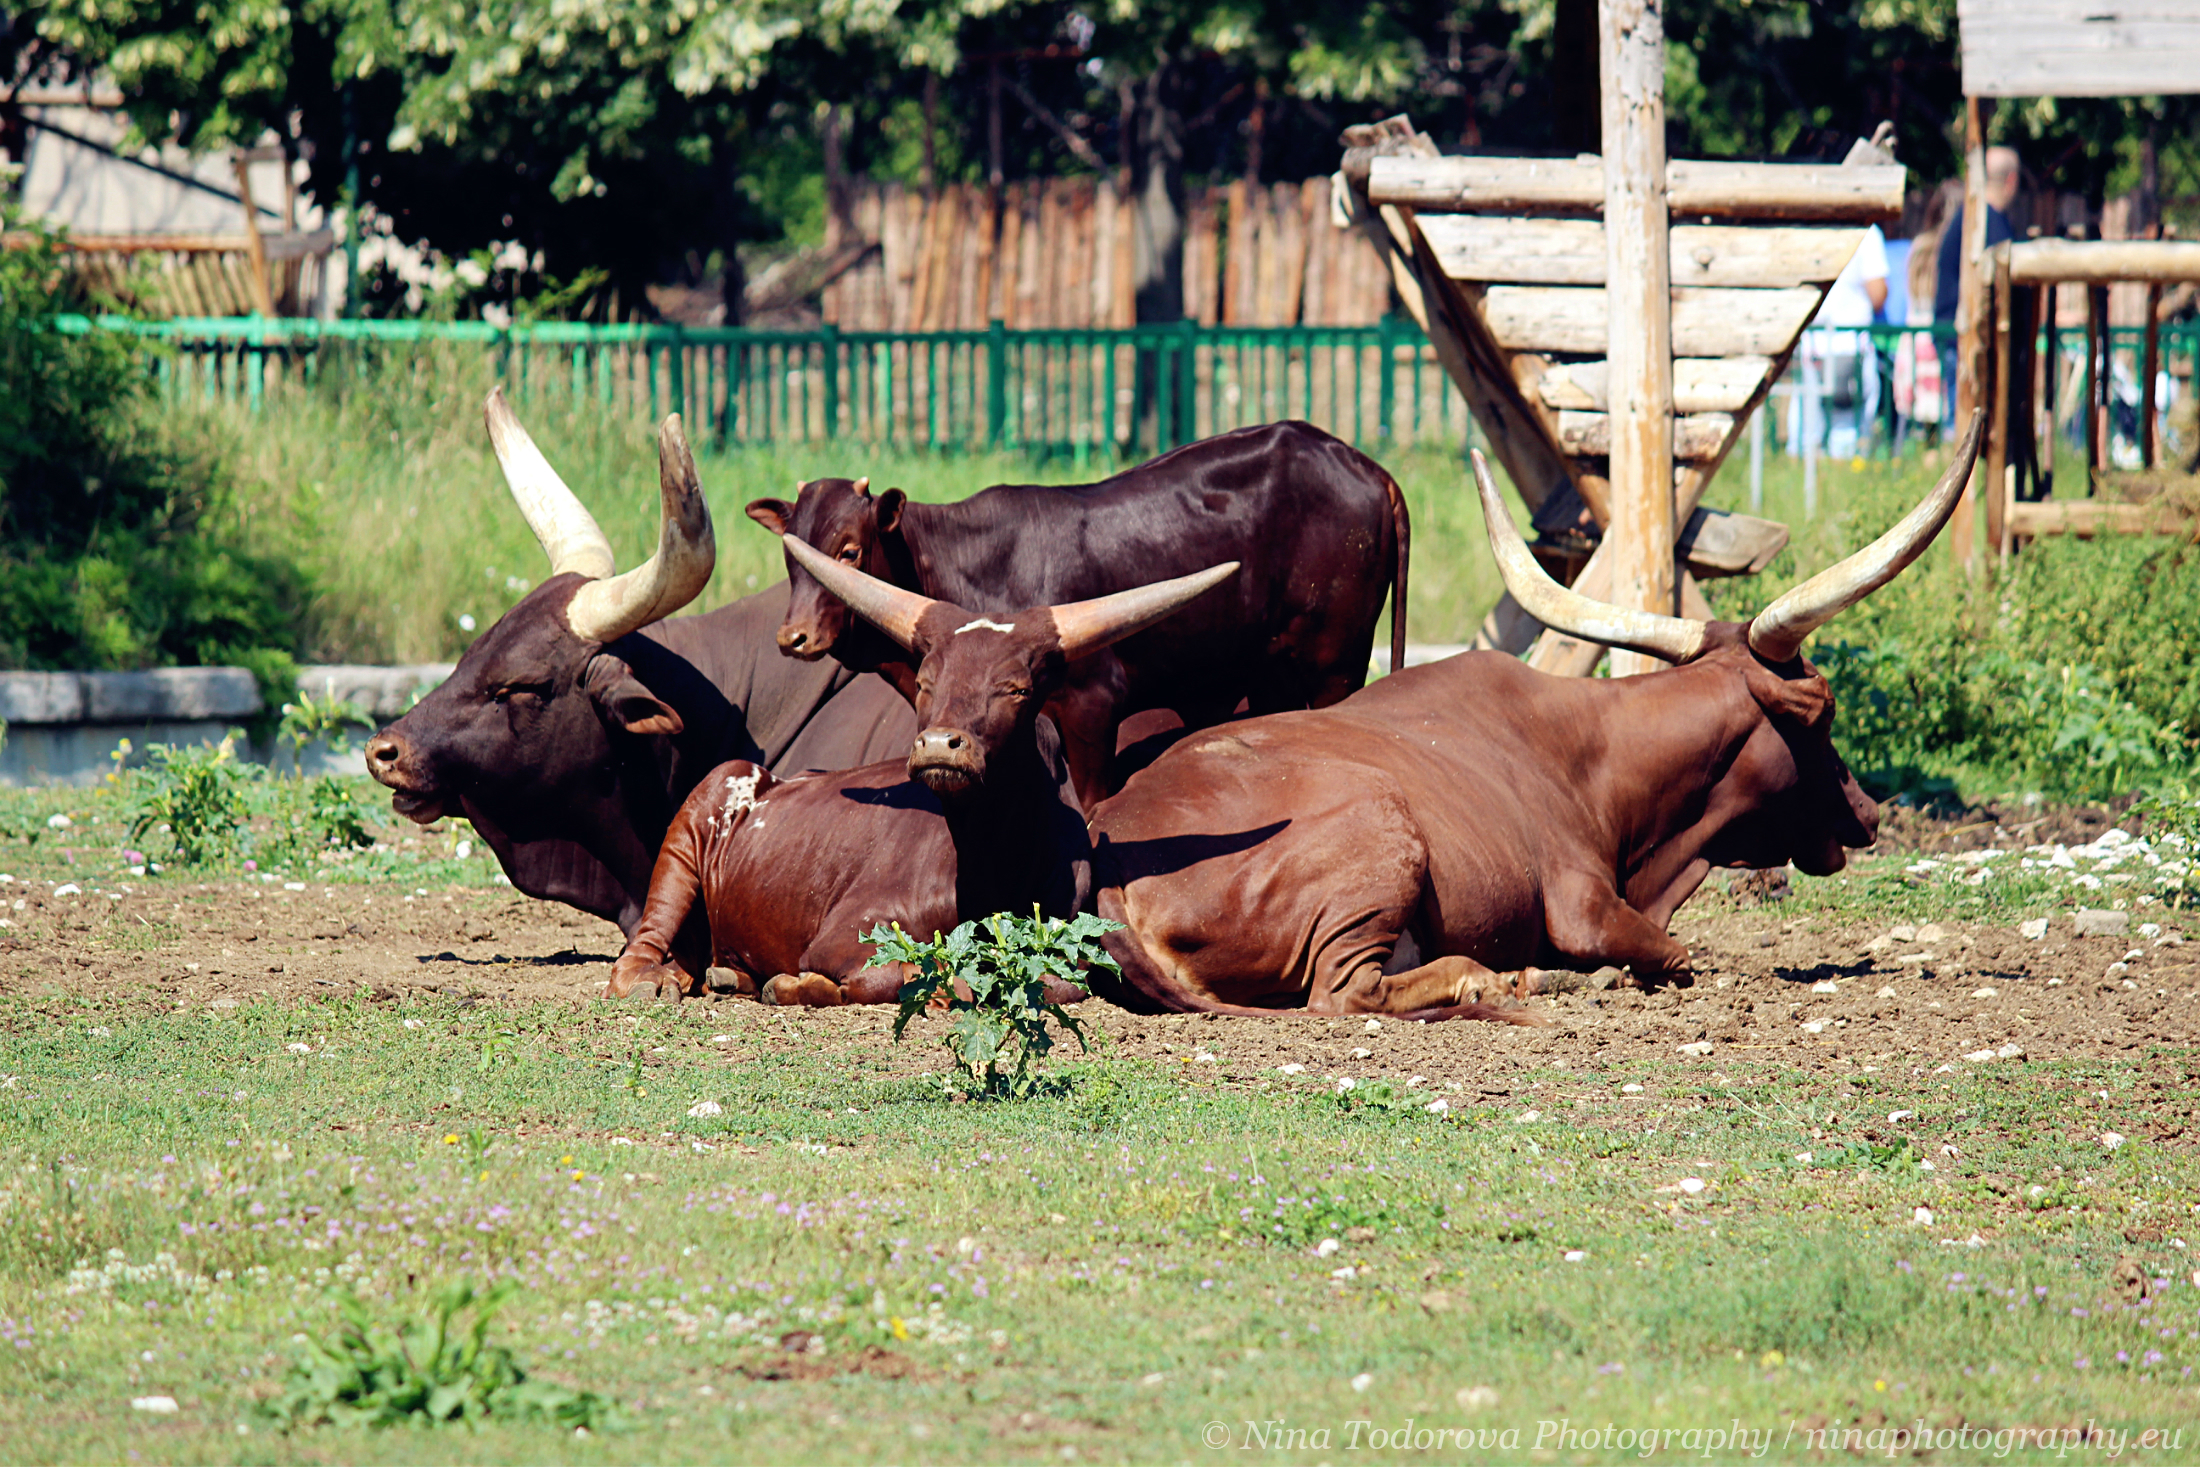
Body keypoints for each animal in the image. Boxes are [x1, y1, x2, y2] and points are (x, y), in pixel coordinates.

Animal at [607, 538, 1240, 1011]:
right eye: (926, 683)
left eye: (1016, 688)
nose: (939, 745)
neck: (991, 870)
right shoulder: (848, 936)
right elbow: (903, 973)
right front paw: (796, 984)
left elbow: (1057, 985)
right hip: (696, 817)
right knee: (651, 929)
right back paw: (651, 980)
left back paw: (724, 976)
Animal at [1086, 415, 1997, 1020]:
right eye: (1824, 711)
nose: (1869, 811)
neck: (1597, 759)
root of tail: (1113, 857)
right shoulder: (1586, 907)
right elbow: (1674, 955)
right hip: (1381, 843)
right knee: (1346, 993)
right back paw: (1510, 979)